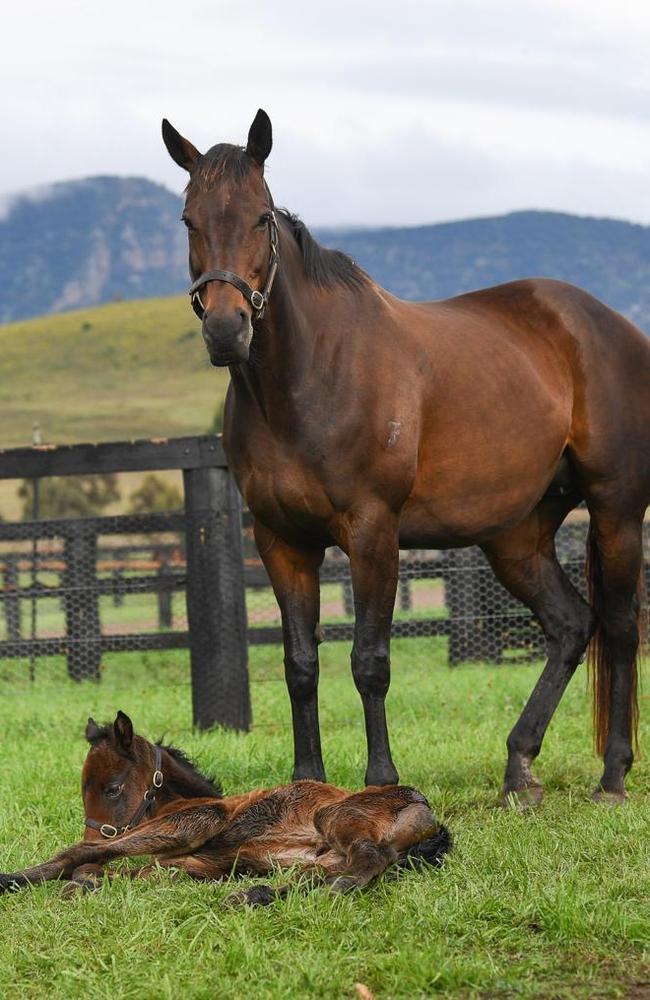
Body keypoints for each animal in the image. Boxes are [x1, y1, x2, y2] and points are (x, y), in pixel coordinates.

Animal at [0, 712, 448, 908]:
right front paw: (88, 881)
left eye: (112, 788)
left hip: (335, 819)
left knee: (368, 858)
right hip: (314, 857)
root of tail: (423, 809)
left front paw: (14, 879)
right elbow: (128, 869)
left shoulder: (196, 820)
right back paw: (254, 893)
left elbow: (80, 853)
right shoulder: (193, 863)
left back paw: (328, 891)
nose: (95, 828)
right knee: (320, 873)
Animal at [161, 109, 648, 804]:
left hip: (616, 510)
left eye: (260, 217)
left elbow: (369, 660)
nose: (227, 331)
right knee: (570, 625)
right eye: (189, 220)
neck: (308, 379)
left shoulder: (373, 531)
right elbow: (299, 663)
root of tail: (612, 327)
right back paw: (520, 768)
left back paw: (612, 775)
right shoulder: (282, 541)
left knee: (619, 626)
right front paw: (306, 781)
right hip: (517, 535)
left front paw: (382, 782)